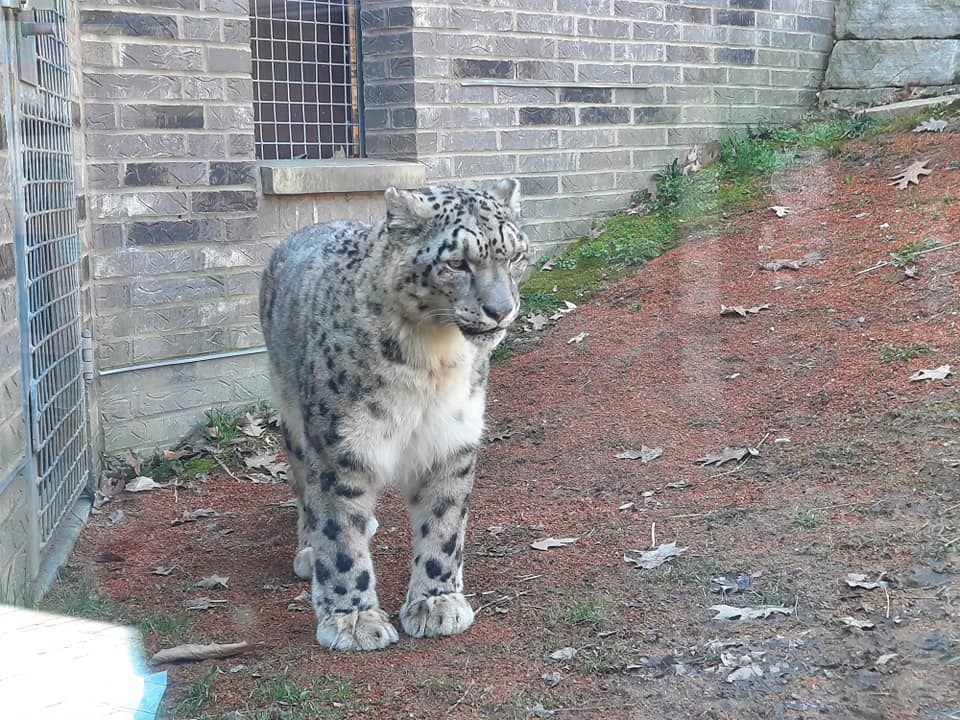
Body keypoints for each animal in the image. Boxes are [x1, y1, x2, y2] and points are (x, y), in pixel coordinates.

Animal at [259, 179, 528, 651]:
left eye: (514, 255)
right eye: (457, 262)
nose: (501, 310)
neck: (433, 362)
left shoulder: (451, 441)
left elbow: (443, 526)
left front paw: (437, 602)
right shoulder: (340, 448)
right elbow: (339, 536)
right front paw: (353, 620)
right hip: (295, 422)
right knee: (305, 493)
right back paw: (310, 550)